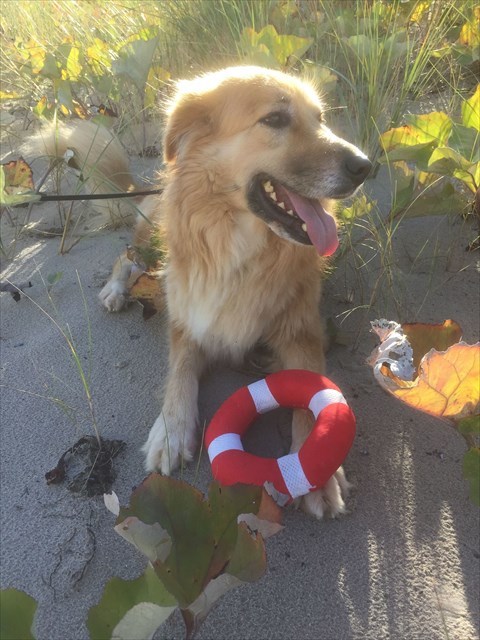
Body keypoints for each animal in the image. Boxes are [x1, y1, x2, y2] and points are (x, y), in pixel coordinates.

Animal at [32, 66, 371, 518]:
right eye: (276, 119)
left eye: (320, 118)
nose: (365, 166)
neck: (238, 244)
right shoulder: (188, 320)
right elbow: (180, 374)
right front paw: (171, 430)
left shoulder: (303, 333)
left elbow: (310, 394)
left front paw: (321, 475)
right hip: (151, 231)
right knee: (127, 253)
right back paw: (115, 289)